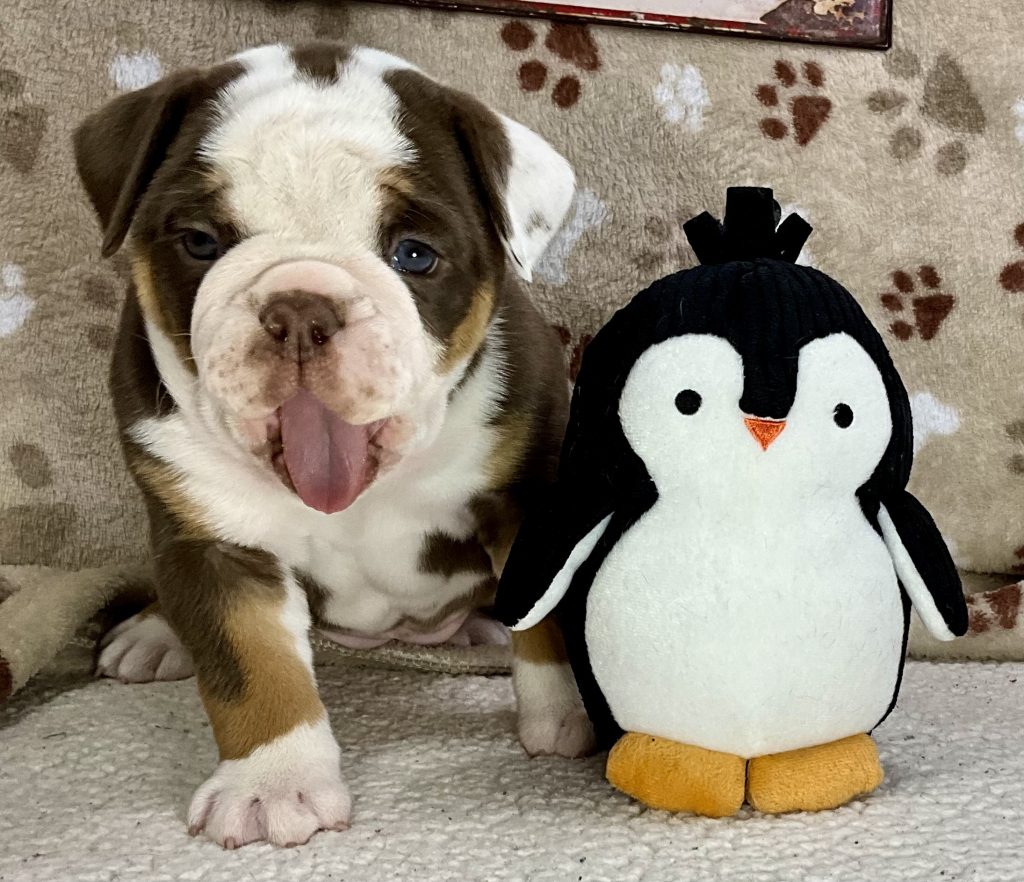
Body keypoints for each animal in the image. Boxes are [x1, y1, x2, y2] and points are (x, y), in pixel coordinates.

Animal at [74, 41, 594, 849]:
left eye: (414, 255)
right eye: (201, 243)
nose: (300, 308)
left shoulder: (523, 499)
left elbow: (543, 621)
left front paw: (560, 719)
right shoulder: (217, 546)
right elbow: (250, 662)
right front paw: (272, 783)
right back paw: (157, 632)